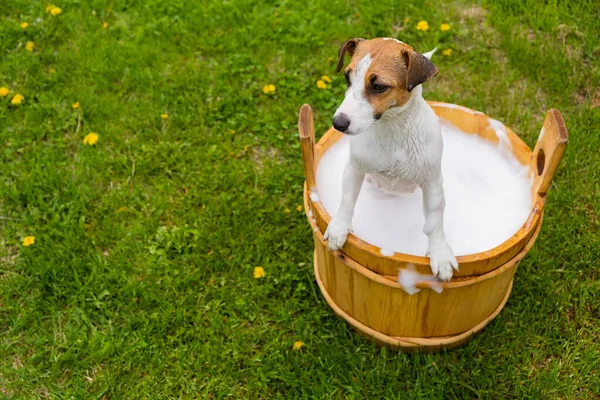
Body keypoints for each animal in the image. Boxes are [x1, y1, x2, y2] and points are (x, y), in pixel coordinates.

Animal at [326, 37, 458, 282]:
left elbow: (435, 224)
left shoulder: (433, 183)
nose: (338, 123)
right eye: (347, 78)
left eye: (378, 86)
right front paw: (339, 227)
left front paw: (441, 254)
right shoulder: (354, 168)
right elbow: (347, 201)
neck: (392, 129)